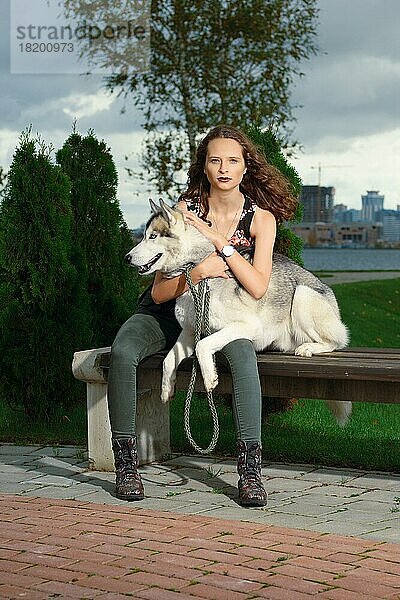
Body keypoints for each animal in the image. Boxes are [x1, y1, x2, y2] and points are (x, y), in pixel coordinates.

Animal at [126, 199, 352, 424]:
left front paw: (209, 377)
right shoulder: (189, 332)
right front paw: (166, 388)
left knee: (337, 341)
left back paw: (309, 348)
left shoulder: (247, 326)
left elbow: (202, 345)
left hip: (303, 295)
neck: (195, 269)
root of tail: (328, 290)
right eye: (144, 235)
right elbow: (168, 360)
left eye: (152, 236)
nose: (127, 257)